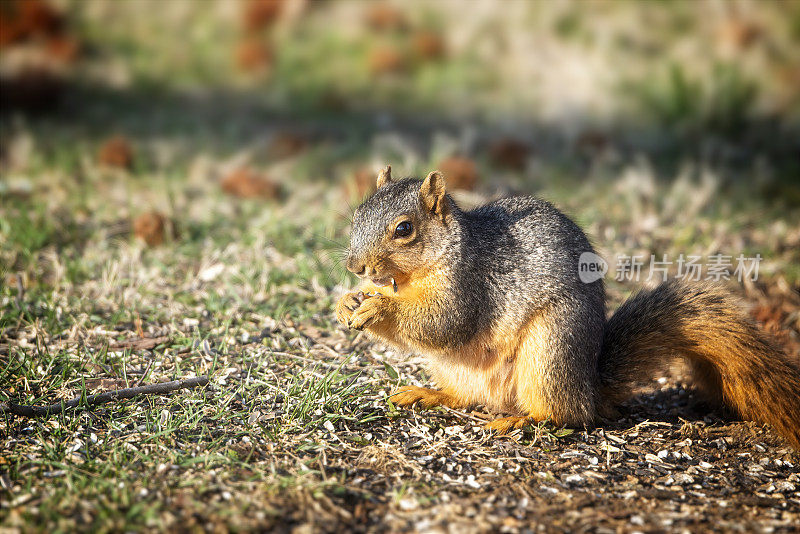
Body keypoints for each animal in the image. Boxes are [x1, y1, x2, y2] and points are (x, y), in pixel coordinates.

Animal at [336, 166, 800, 448]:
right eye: (356, 216)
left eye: (404, 229)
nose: (355, 266)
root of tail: (590, 387)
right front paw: (346, 302)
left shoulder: (470, 285)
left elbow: (443, 323)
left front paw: (378, 310)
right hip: (462, 369)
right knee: (467, 397)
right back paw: (427, 393)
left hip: (551, 349)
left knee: (566, 416)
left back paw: (523, 420)